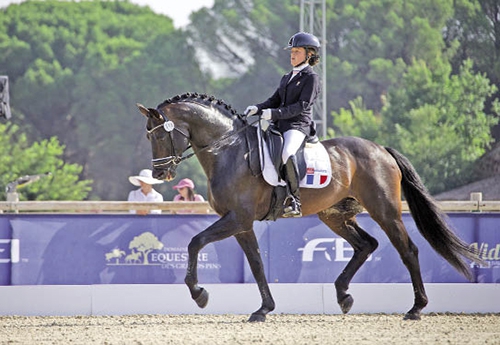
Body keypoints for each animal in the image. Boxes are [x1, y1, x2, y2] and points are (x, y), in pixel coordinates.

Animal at [136, 92, 480, 322]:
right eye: (148, 137)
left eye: (160, 136)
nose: (159, 174)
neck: (228, 151)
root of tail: (381, 149)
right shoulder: (241, 223)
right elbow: (257, 264)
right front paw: (263, 309)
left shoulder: (237, 218)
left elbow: (195, 242)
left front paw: (199, 294)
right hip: (334, 215)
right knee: (366, 245)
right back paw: (343, 295)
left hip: (385, 210)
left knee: (407, 250)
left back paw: (416, 308)